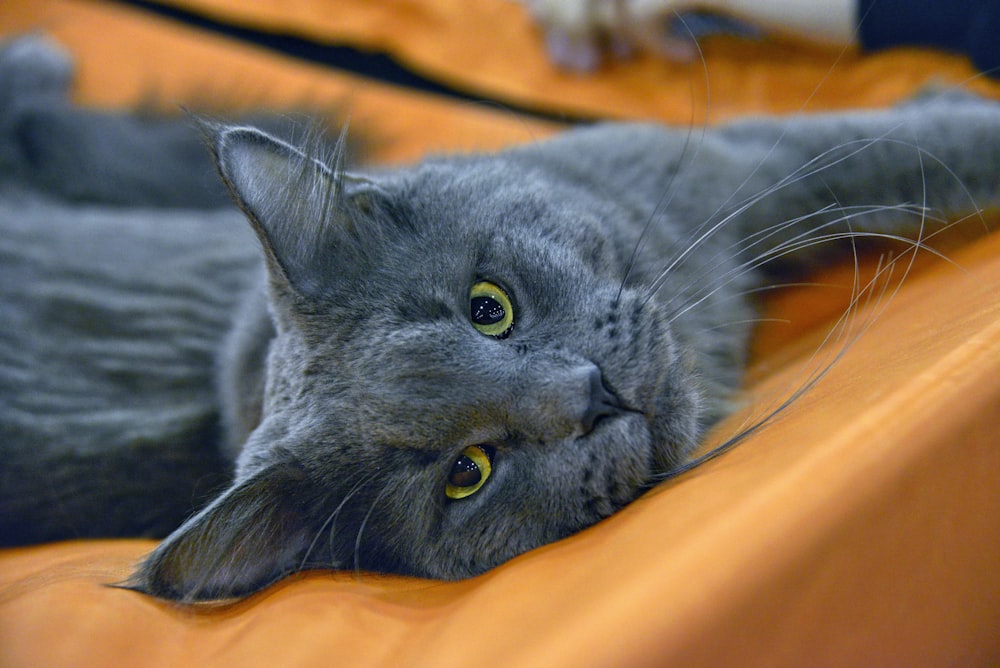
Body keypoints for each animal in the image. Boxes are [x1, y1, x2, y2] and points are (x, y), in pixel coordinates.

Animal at [1, 37, 1000, 600]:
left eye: (490, 308)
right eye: (466, 474)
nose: (592, 395)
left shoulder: (722, 167)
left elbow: (890, 152)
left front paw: (957, 108)